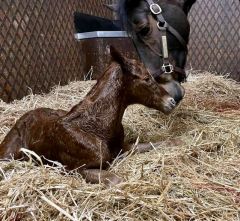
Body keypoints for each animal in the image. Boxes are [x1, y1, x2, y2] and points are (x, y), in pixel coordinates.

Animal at [0, 46, 182, 185]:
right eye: (146, 78)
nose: (171, 101)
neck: (99, 126)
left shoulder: (123, 148)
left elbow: (154, 144)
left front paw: (176, 142)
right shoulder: (75, 169)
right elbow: (117, 180)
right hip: (8, 155)